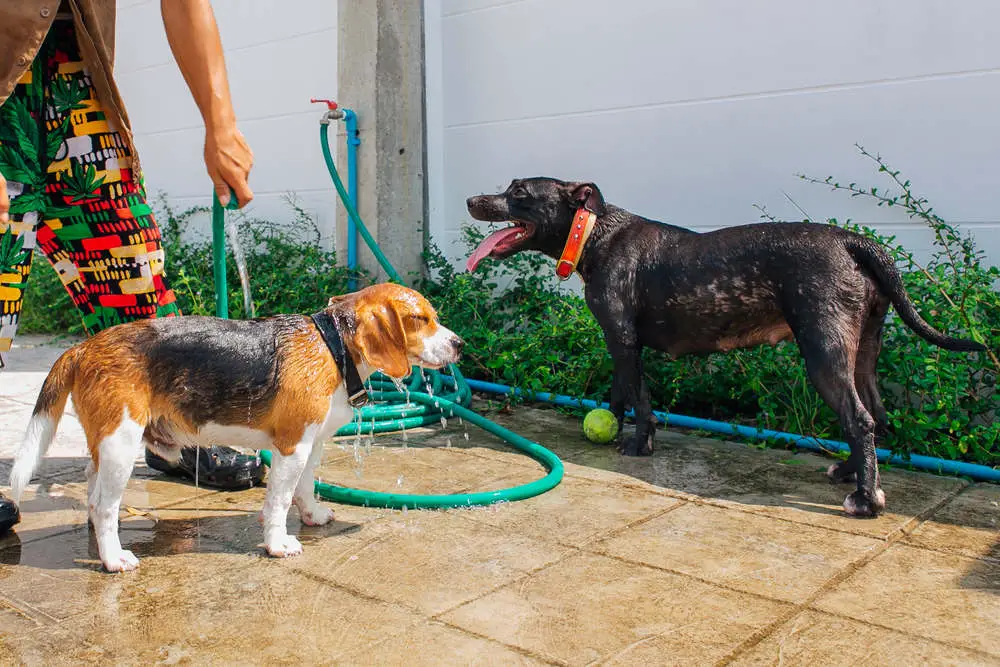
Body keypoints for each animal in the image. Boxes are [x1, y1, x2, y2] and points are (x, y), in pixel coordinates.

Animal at [7, 284, 462, 572]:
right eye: (419, 319)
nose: (460, 345)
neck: (332, 346)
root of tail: (83, 347)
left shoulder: (309, 446)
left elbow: (305, 488)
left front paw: (312, 515)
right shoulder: (291, 448)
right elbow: (279, 501)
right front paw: (278, 545)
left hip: (107, 443)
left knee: (91, 483)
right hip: (121, 444)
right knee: (105, 505)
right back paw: (112, 557)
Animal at [466, 179, 984, 520]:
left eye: (520, 192)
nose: (472, 199)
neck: (593, 230)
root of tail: (851, 240)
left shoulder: (623, 339)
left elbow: (640, 397)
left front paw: (638, 443)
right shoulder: (620, 341)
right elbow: (619, 393)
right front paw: (609, 428)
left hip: (824, 351)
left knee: (857, 418)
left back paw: (866, 499)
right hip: (862, 351)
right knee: (872, 413)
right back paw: (854, 473)